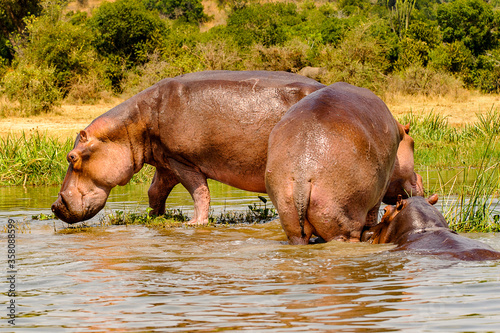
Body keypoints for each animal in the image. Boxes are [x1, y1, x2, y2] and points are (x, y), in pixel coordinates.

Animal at [52, 70, 422, 226]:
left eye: (72, 156)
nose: (55, 206)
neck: (130, 125)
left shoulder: (183, 160)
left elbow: (199, 191)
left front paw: (194, 225)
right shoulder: (165, 159)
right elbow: (155, 192)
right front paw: (155, 219)